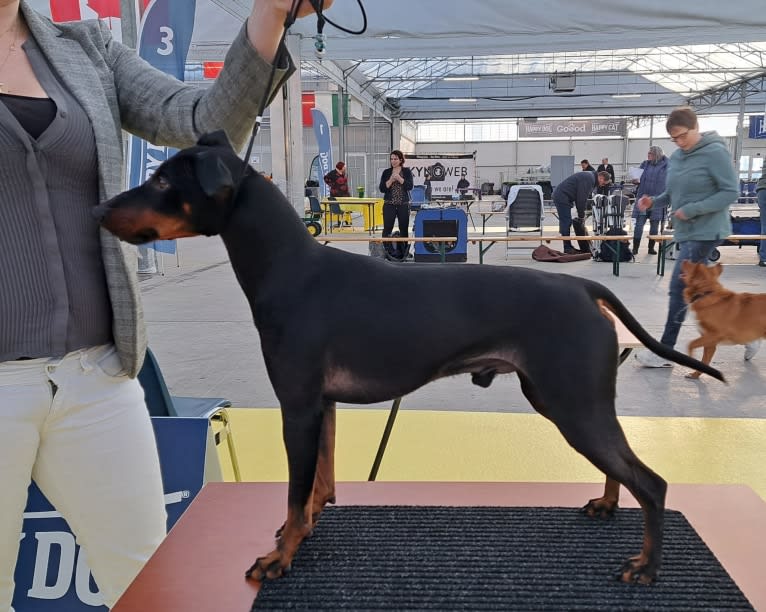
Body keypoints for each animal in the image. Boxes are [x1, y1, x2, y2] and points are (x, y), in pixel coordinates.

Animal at [94, 133, 728, 584]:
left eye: (160, 180)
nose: (99, 210)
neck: (290, 270)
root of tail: (583, 288)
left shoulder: (297, 408)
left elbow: (297, 492)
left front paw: (279, 558)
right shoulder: (321, 408)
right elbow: (319, 487)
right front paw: (302, 533)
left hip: (573, 405)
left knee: (653, 484)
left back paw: (645, 567)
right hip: (570, 403)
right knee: (621, 468)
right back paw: (605, 505)